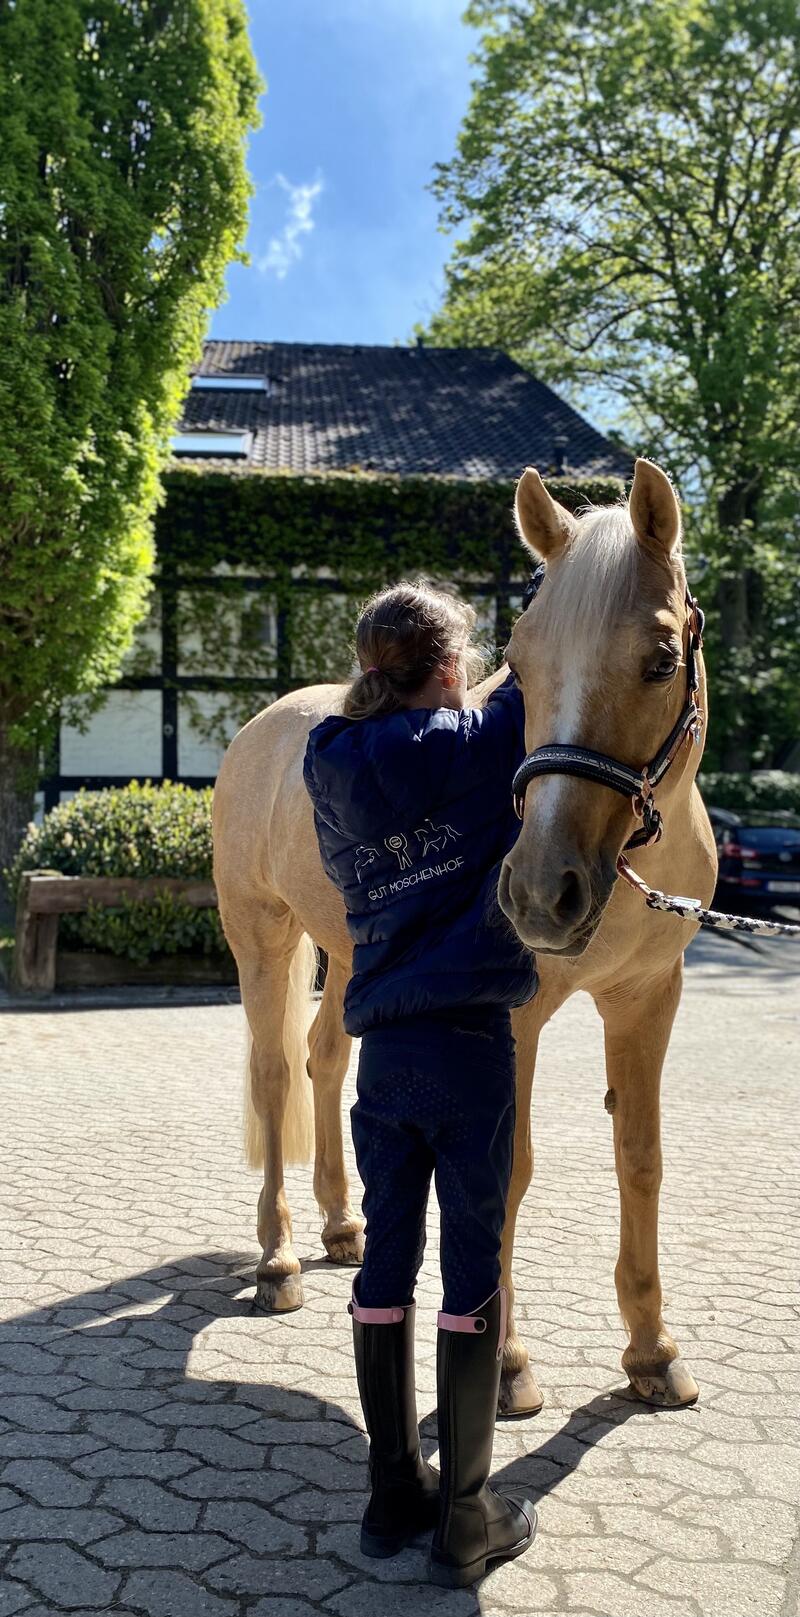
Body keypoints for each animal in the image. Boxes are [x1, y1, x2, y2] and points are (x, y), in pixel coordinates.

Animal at [214, 455, 720, 1416]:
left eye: (660, 660)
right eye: (520, 660)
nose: (540, 892)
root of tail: (264, 726)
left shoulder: (647, 1000)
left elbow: (641, 1155)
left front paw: (652, 1351)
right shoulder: (509, 1018)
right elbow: (504, 1172)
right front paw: (509, 1366)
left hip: (351, 957)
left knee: (324, 1056)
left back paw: (343, 1224)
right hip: (261, 939)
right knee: (270, 1072)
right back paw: (278, 1259)